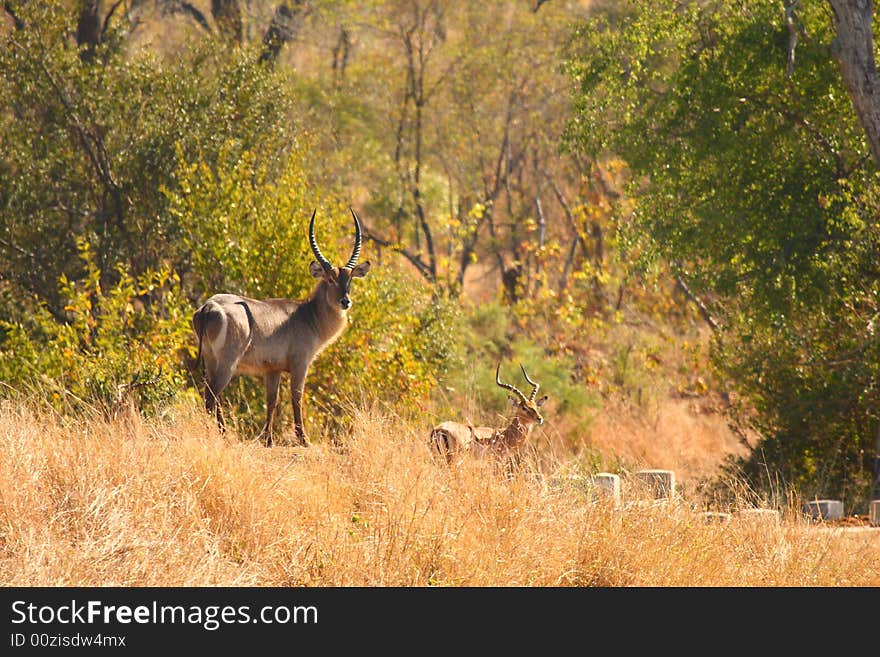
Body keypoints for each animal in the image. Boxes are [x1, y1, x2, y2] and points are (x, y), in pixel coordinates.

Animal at [191, 210, 370, 446]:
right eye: (330, 279)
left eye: (349, 280)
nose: (345, 301)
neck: (307, 315)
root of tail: (208, 306)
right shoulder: (300, 364)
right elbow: (297, 397)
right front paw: (303, 439)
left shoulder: (272, 369)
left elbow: (272, 400)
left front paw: (268, 439)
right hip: (227, 362)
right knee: (211, 396)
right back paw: (224, 436)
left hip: (210, 359)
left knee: (210, 395)